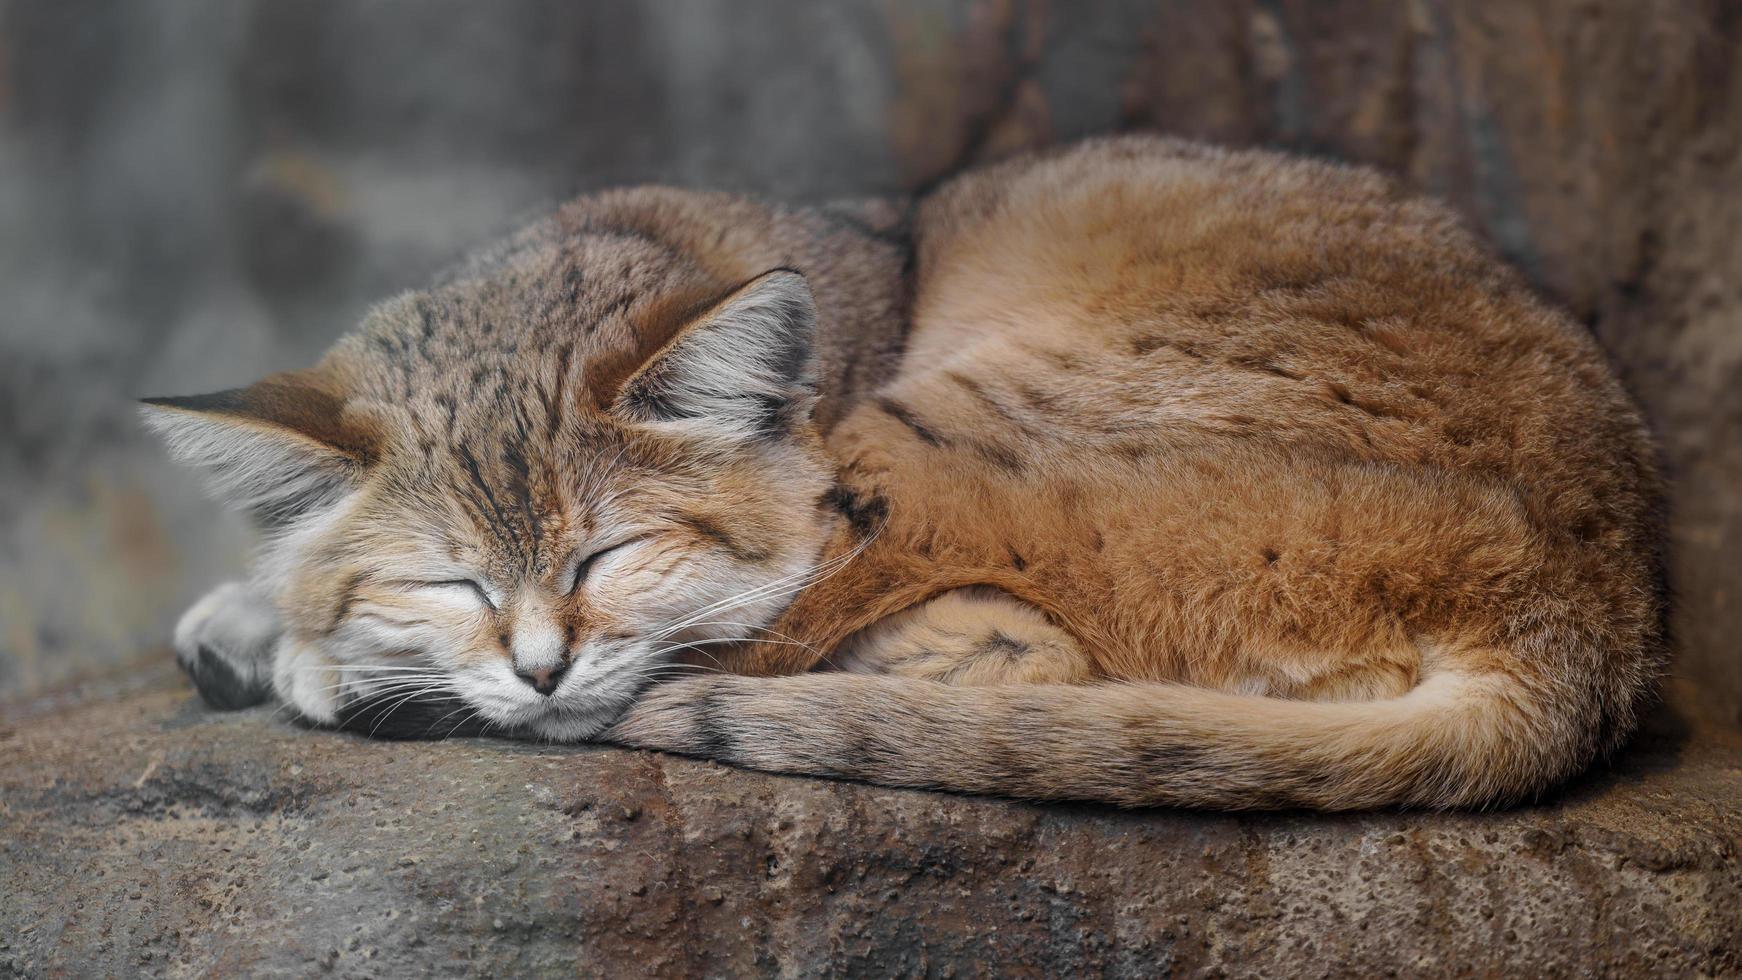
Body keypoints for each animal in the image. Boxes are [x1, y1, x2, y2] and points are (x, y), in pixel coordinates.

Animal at [146, 138, 1658, 814]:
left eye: (607, 555)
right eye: (452, 579)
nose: (536, 668)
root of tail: (1588, 625)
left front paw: (306, 649)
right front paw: (263, 609)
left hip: (924, 446)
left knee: (983, 656)